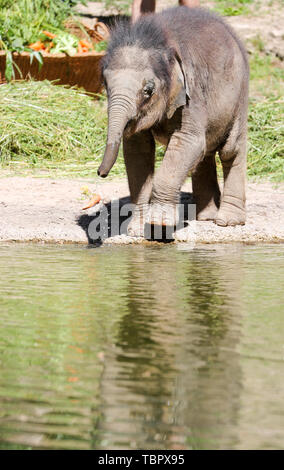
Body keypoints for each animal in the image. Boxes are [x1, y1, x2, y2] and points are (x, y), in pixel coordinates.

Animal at [97, 5, 248, 237]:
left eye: (148, 90)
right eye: (105, 84)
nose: (100, 173)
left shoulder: (191, 96)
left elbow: (188, 142)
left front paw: (158, 225)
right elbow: (137, 152)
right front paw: (138, 231)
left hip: (239, 95)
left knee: (230, 150)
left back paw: (227, 222)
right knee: (205, 153)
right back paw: (205, 217)